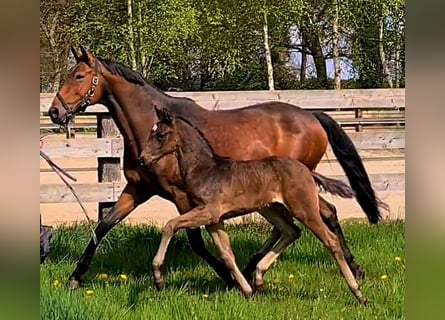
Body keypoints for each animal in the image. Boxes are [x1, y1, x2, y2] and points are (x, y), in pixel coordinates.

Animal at [140, 106, 366, 304]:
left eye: (160, 135)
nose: (142, 159)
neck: (205, 170)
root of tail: (307, 171)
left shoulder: (208, 212)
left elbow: (170, 225)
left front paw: (158, 278)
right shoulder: (215, 221)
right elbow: (227, 255)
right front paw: (247, 291)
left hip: (304, 209)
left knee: (329, 240)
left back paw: (358, 293)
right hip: (270, 209)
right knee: (291, 231)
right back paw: (257, 276)